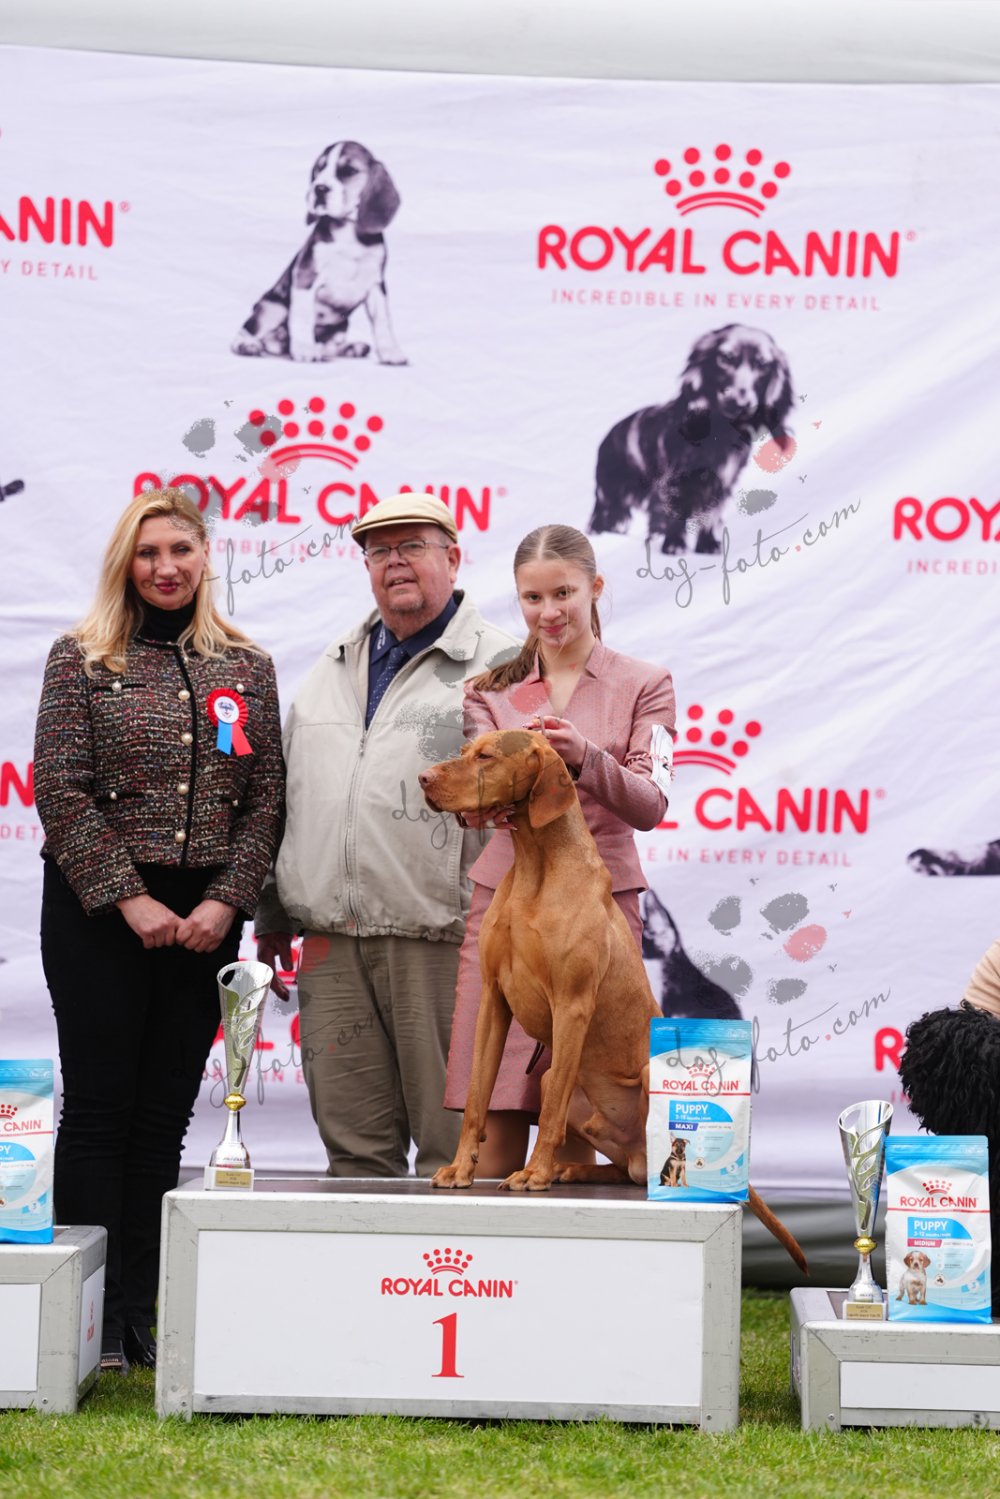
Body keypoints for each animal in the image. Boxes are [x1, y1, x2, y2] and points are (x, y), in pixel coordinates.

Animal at [232, 140, 407, 365]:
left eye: (349, 171)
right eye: (319, 169)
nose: (319, 189)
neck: (348, 233)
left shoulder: (376, 285)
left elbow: (382, 322)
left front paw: (391, 352)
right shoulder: (305, 277)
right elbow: (303, 317)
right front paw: (304, 349)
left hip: (342, 325)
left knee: (330, 347)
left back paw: (349, 348)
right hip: (274, 308)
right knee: (248, 332)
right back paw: (248, 345)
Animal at [589, 324, 794, 553]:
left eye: (762, 364)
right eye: (725, 358)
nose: (738, 403)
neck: (717, 436)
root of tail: (607, 438)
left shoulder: (720, 484)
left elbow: (709, 516)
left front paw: (707, 546)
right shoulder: (675, 484)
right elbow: (676, 515)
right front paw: (674, 547)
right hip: (611, 497)